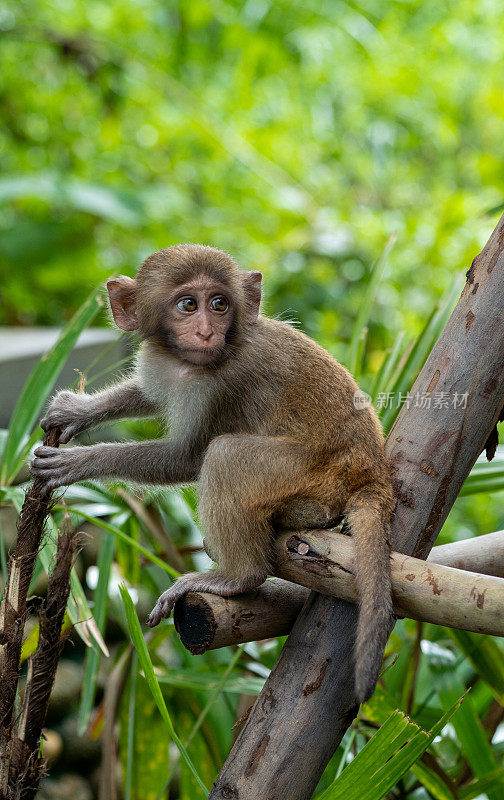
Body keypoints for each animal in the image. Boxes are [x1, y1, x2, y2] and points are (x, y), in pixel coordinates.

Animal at [30, 242, 394, 700]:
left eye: (219, 304)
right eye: (188, 305)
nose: (206, 332)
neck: (187, 360)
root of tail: (372, 472)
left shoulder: (223, 384)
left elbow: (187, 458)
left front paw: (77, 463)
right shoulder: (165, 364)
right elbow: (148, 393)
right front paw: (78, 411)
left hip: (311, 478)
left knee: (224, 456)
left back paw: (237, 578)